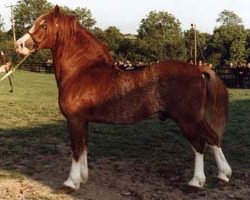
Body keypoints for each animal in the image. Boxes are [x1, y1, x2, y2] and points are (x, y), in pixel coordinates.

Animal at [15, 5, 230, 193]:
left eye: (44, 25)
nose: (19, 45)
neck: (82, 71)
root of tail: (197, 69)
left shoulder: (74, 120)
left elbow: (76, 150)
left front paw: (70, 183)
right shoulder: (83, 121)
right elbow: (83, 147)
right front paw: (83, 177)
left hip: (188, 120)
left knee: (199, 145)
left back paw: (196, 181)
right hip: (194, 119)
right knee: (212, 138)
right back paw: (223, 175)